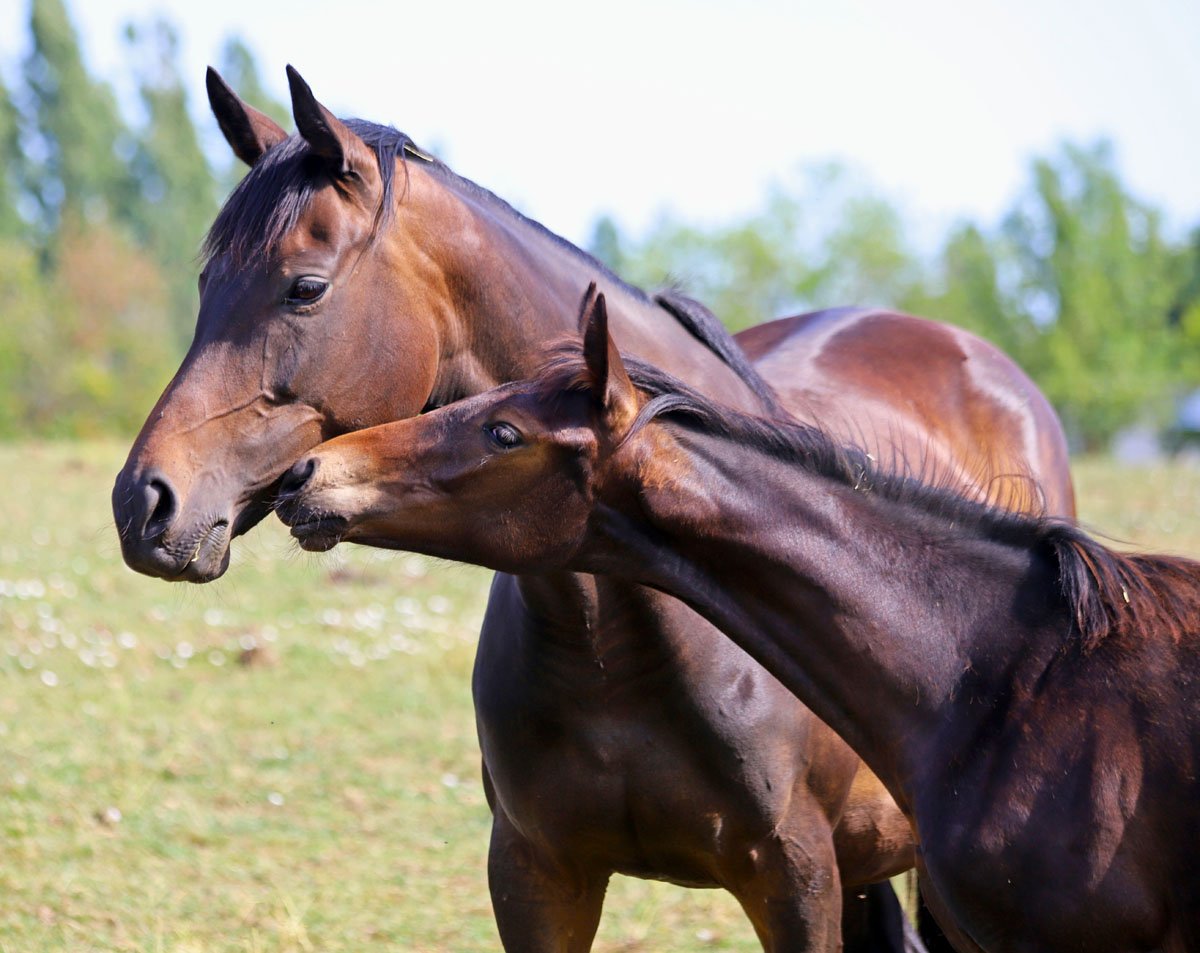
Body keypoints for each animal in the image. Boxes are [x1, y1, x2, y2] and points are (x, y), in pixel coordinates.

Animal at [111, 66, 1074, 952]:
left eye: (304, 288)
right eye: (205, 285)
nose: (142, 503)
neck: (620, 622)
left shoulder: (798, 878)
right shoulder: (537, 873)